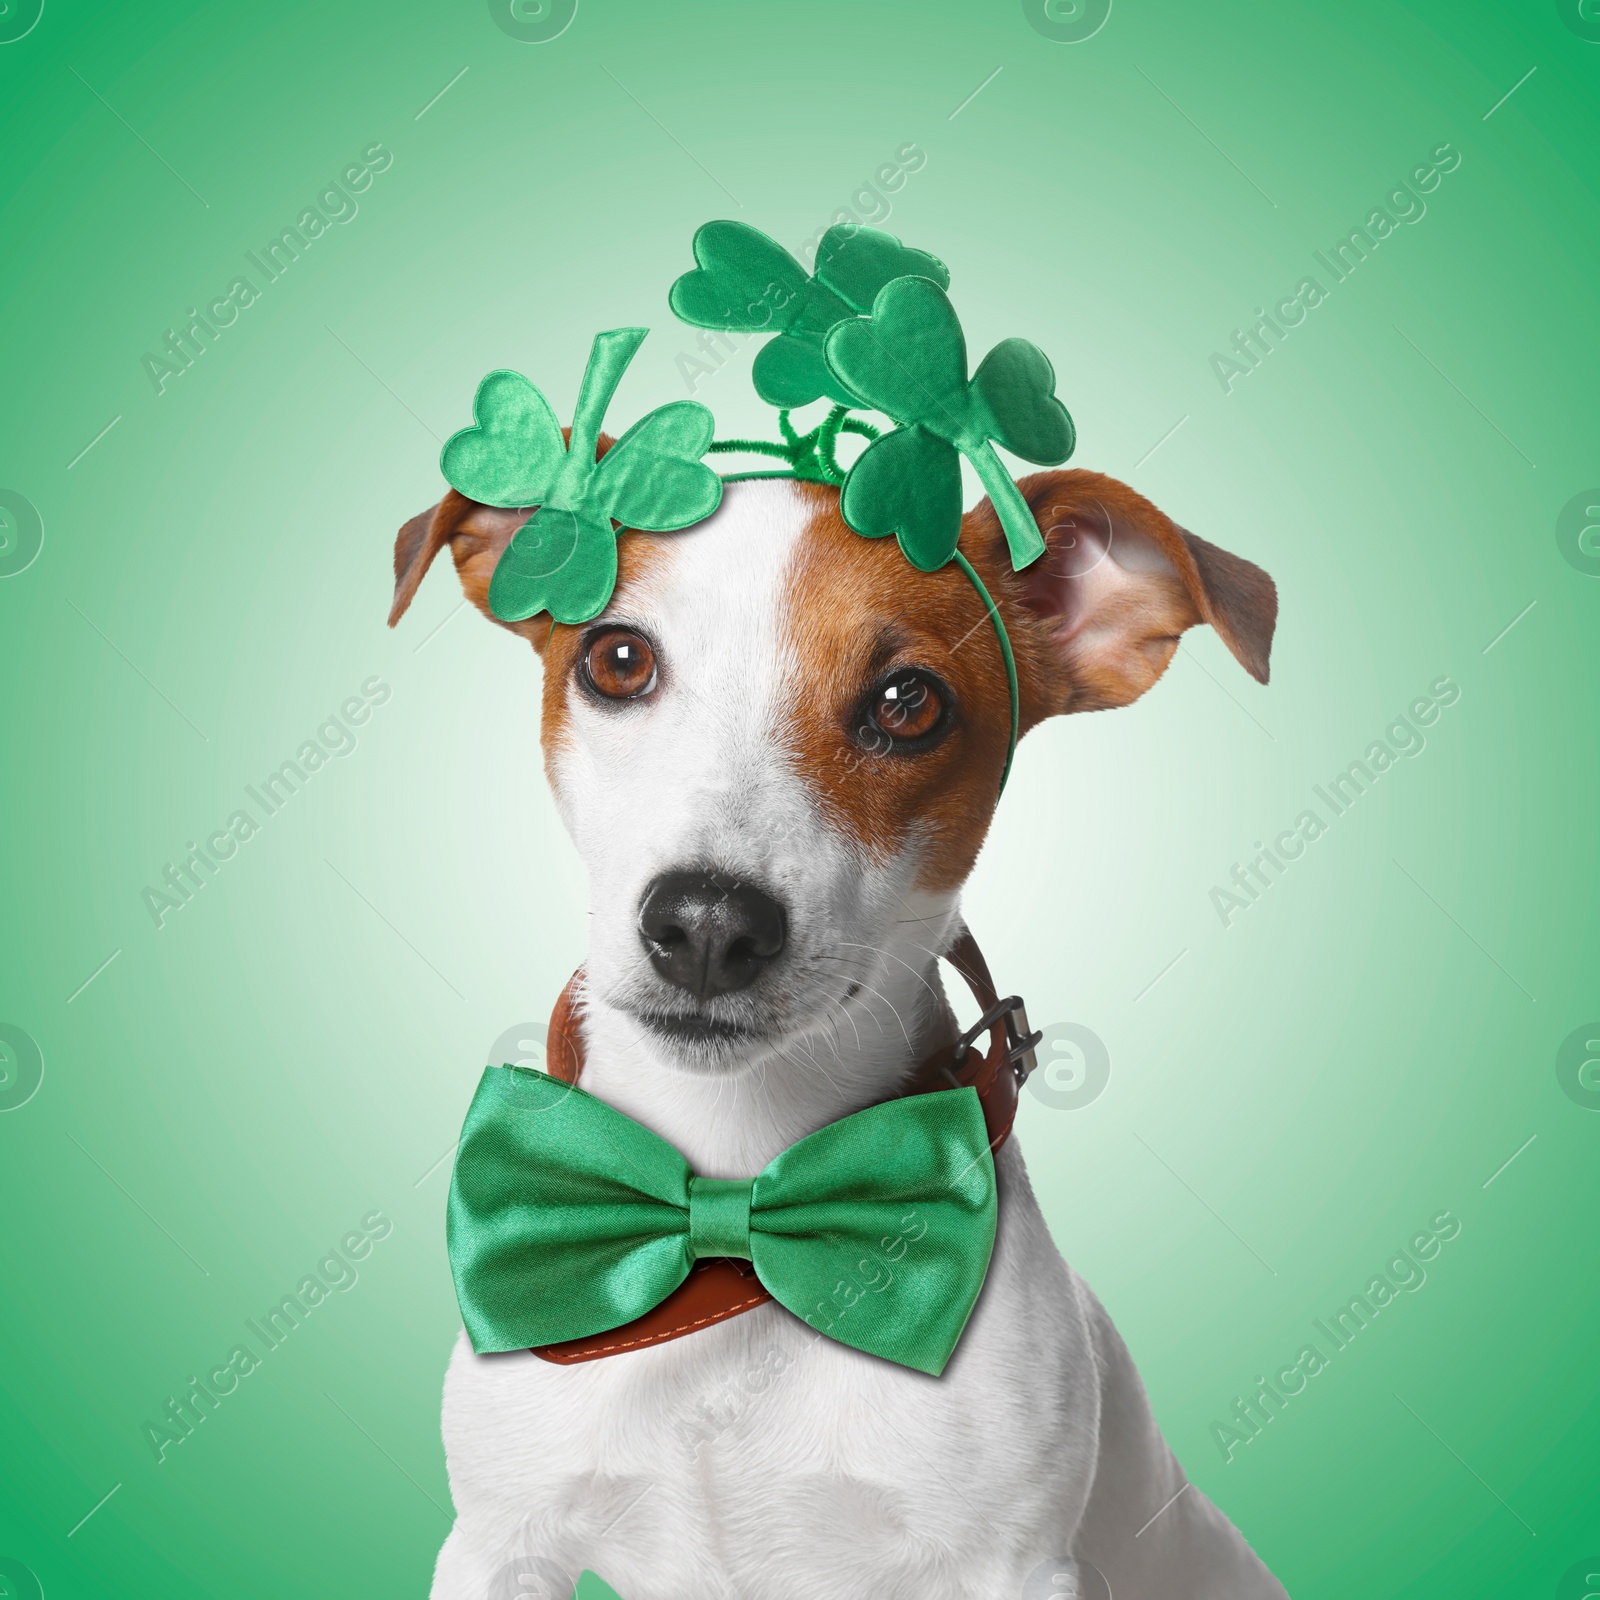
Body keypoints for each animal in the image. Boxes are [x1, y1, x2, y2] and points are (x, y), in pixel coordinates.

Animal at [390, 454, 1286, 1600]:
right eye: (618, 658)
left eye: (909, 703)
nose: (707, 923)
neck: (737, 1192)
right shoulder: (499, 1543)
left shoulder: (1010, 1567)